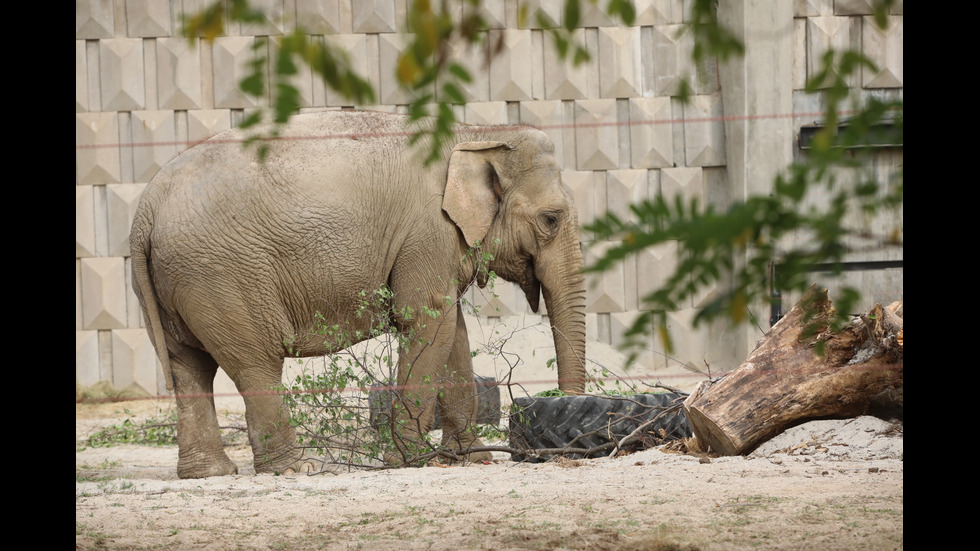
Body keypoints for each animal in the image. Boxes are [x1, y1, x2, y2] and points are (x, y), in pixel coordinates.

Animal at [131, 109, 588, 478]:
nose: (562, 412)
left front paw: (470, 459)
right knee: (255, 364)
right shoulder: (428, 232)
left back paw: (209, 473)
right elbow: (425, 321)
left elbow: (451, 329)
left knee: (188, 367)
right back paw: (298, 469)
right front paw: (409, 461)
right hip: (224, 277)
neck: (476, 132)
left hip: (179, 281)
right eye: (551, 219)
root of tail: (145, 210)